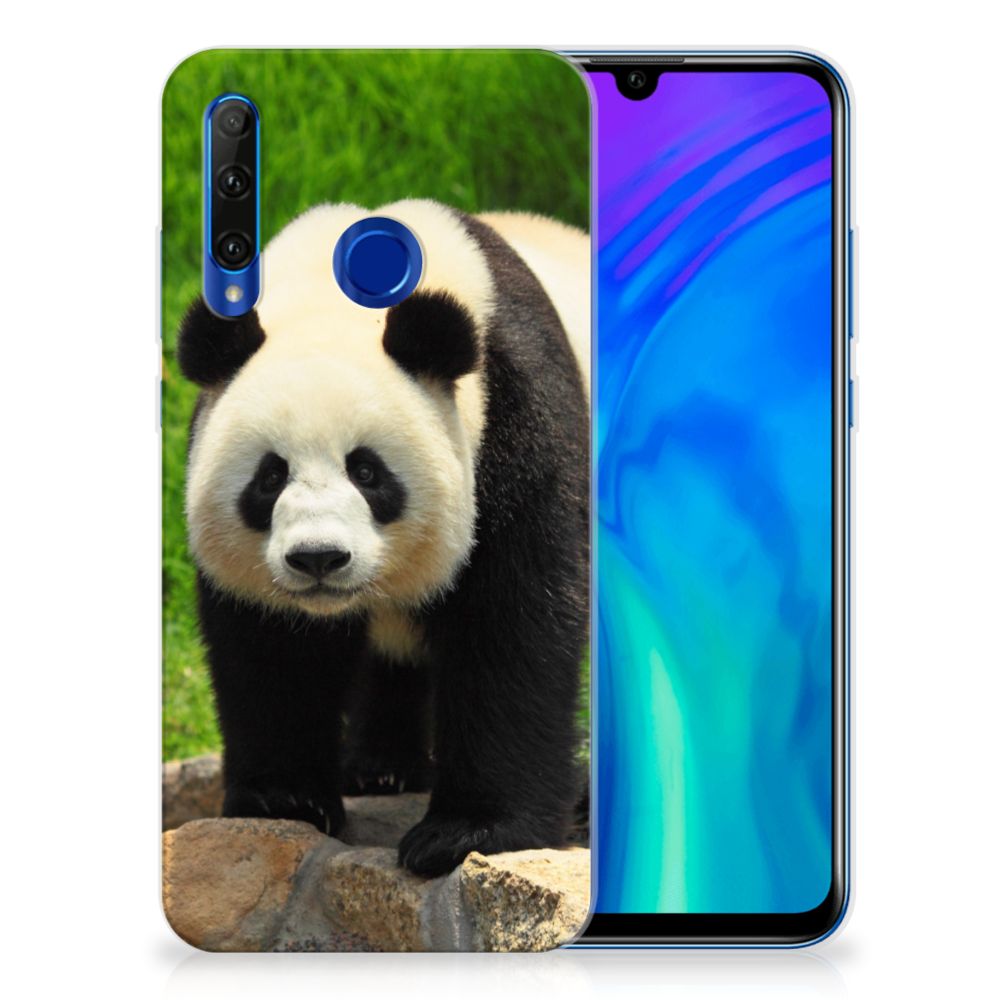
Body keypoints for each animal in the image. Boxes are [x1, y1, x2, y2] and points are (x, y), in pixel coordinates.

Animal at [178, 199, 589, 877]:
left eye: (367, 472)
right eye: (270, 476)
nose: (318, 558)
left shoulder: (517, 420)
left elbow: (515, 623)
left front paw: (467, 832)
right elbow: (272, 647)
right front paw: (284, 799)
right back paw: (380, 768)